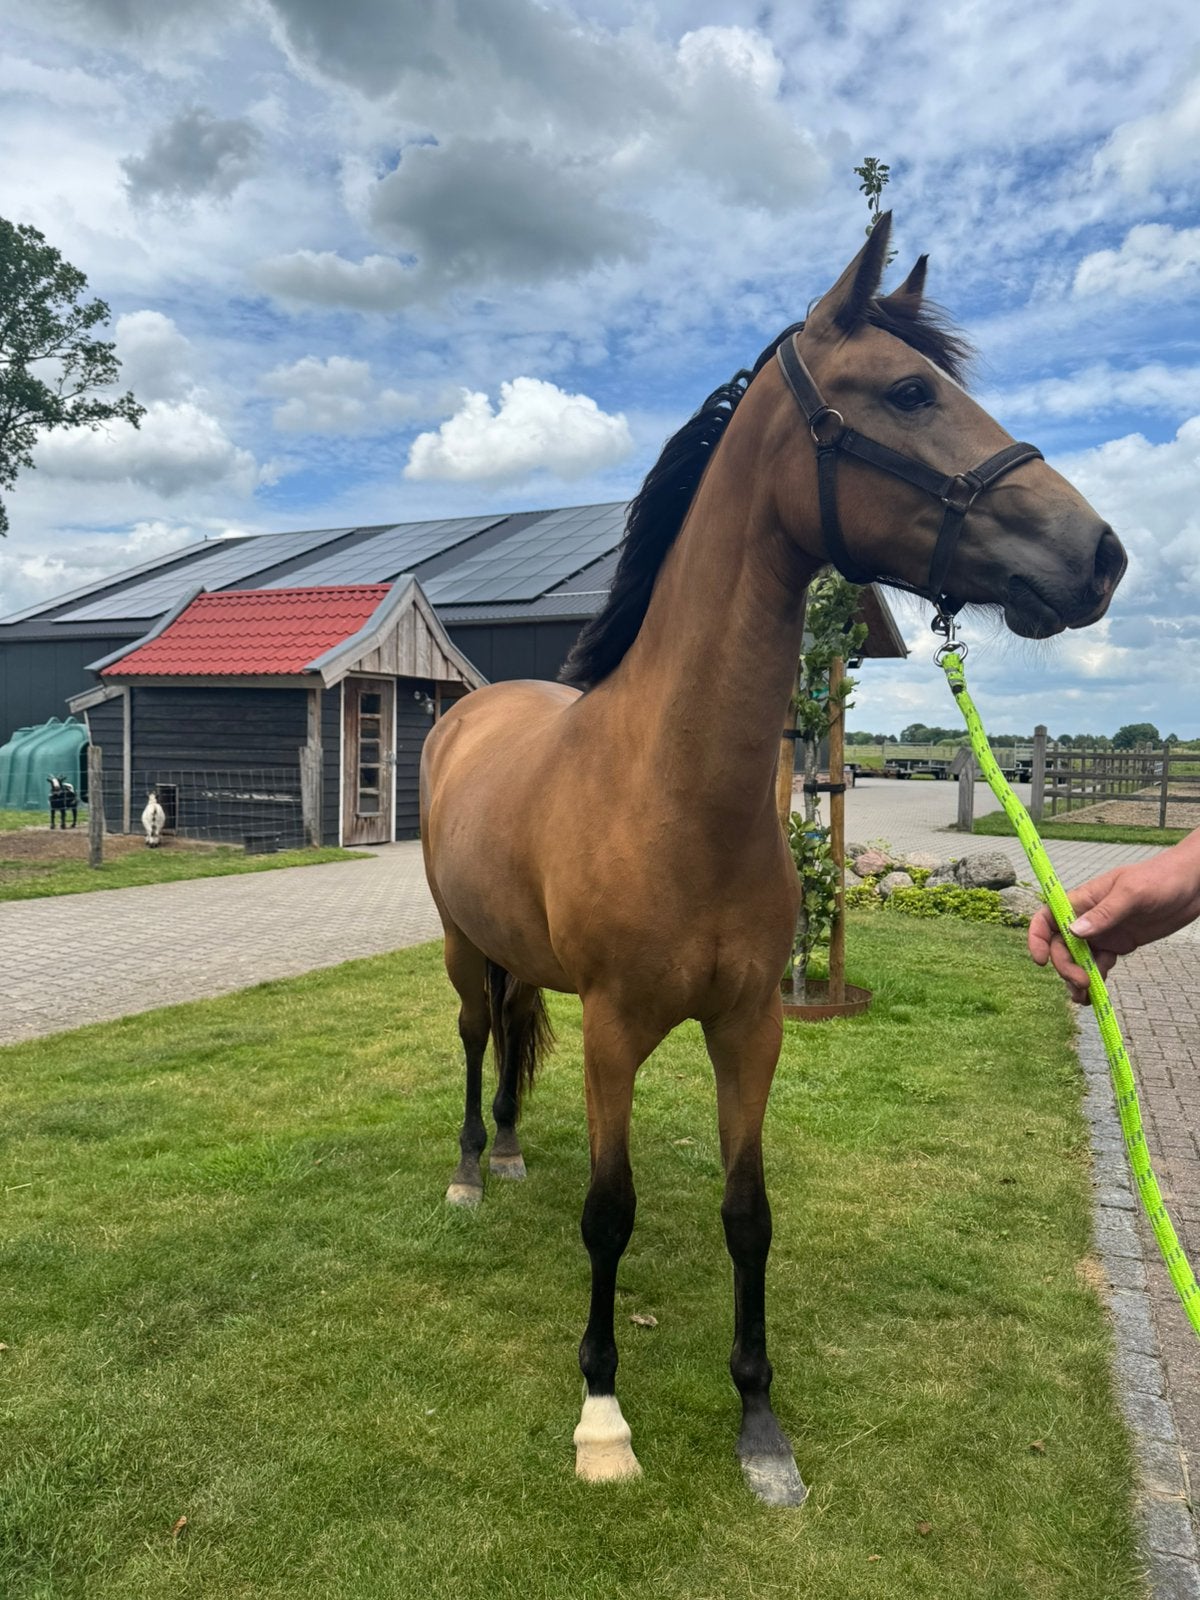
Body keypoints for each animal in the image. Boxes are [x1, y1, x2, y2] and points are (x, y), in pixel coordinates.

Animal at [418, 214, 1126, 1507]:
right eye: (909, 391)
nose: (1098, 554)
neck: (673, 790)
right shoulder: (614, 1031)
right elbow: (611, 1212)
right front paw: (603, 1416)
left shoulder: (751, 1025)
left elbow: (749, 1213)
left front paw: (759, 1422)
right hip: (460, 947)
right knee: (474, 1035)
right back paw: (466, 1170)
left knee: (508, 1039)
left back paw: (509, 1150)